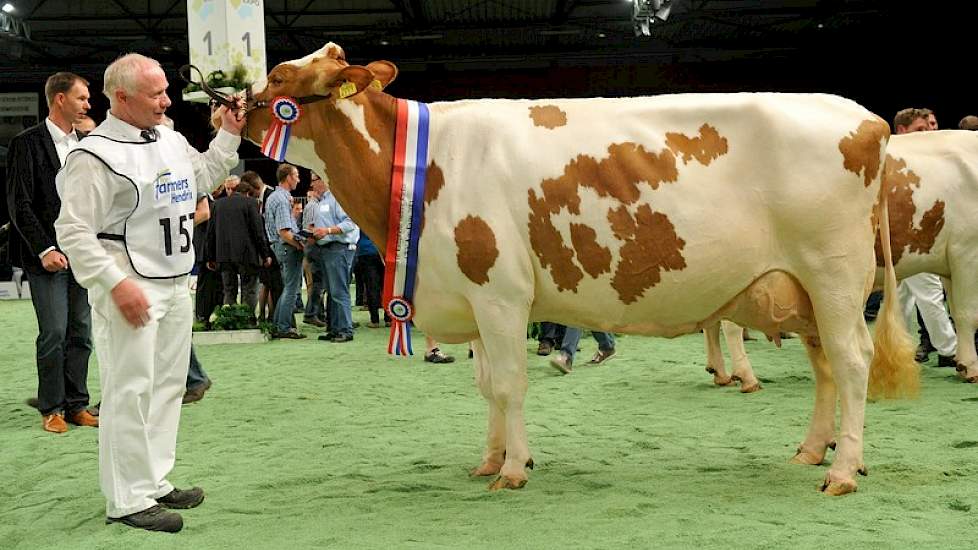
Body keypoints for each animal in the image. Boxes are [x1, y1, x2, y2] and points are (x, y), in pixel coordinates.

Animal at [221, 44, 916, 496]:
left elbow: (509, 385)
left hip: (834, 275)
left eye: (278, 75)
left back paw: (843, 471)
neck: (420, 167)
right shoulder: (475, 299)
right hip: (804, 290)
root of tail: (868, 119)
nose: (223, 106)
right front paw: (489, 458)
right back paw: (810, 452)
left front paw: (513, 469)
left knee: (852, 362)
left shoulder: (501, 294)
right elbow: (485, 387)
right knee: (826, 368)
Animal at [704, 130, 976, 390]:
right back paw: (747, 377)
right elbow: (966, 314)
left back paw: (721, 373)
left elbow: (956, 310)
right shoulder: (966, 252)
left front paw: (961, 362)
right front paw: (970, 367)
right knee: (730, 326)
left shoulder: (952, 260)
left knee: (714, 323)